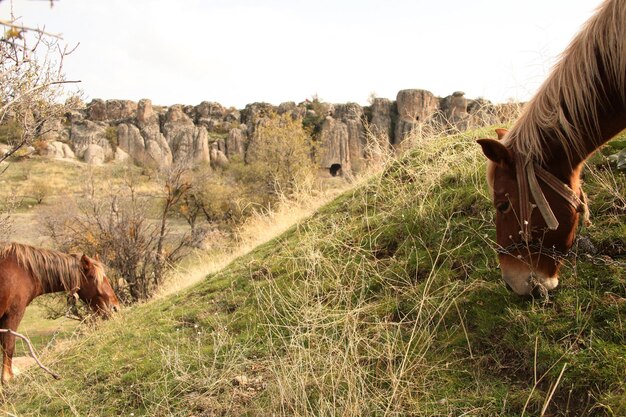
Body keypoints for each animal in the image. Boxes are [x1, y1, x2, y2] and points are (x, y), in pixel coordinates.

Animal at [0, 240, 119, 380]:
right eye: (94, 277)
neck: (24, 271)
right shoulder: (13, 314)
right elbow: (8, 344)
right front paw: (7, 378)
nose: (115, 307)